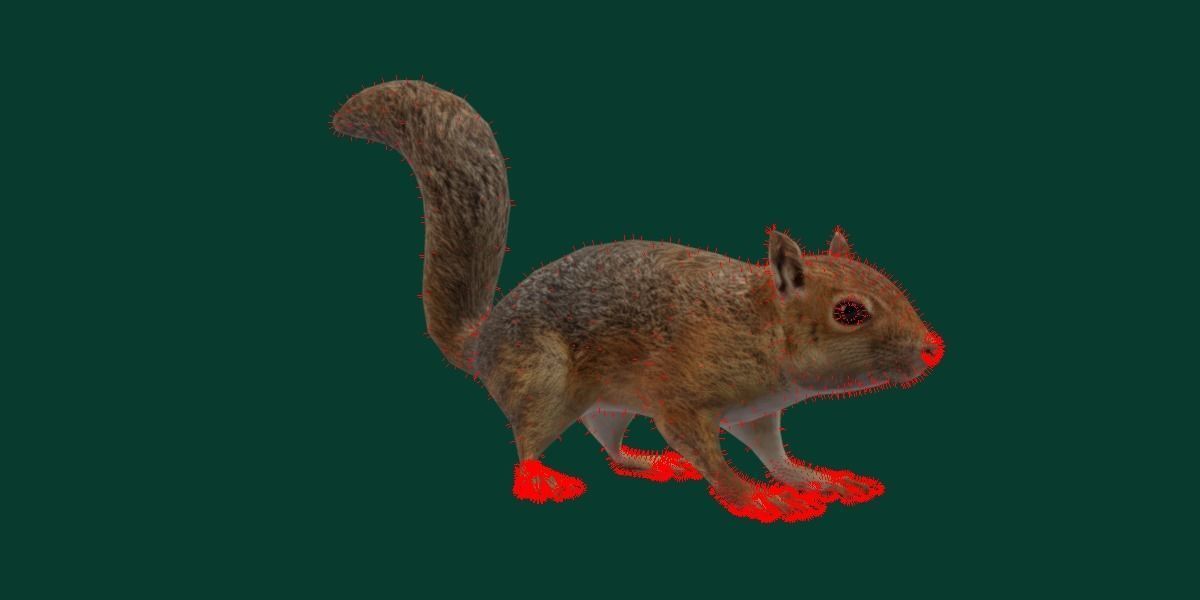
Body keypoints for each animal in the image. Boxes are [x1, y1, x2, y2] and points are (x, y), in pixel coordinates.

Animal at [332, 80, 945, 524]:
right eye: (849, 312)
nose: (933, 349)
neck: (756, 325)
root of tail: (481, 341)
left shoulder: (758, 412)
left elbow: (775, 454)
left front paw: (818, 479)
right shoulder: (681, 390)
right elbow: (703, 447)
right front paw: (755, 497)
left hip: (607, 404)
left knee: (608, 442)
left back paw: (648, 463)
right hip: (541, 381)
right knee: (528, 441)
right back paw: (542, 477)